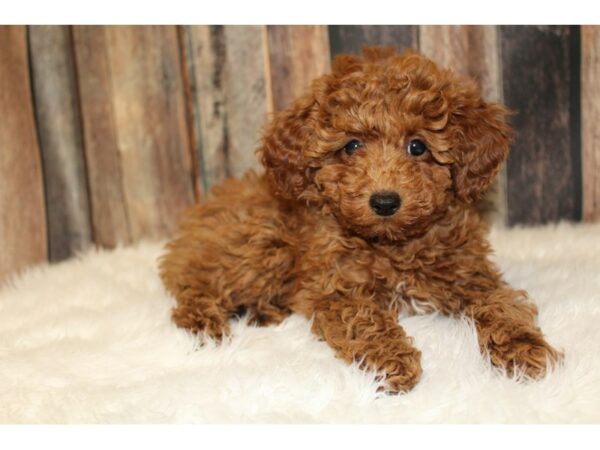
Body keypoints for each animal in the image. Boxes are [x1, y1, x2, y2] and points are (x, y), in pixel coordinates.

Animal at [161, 49, 564, 392]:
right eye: (352, 146)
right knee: (194, 288)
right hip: (260, 243)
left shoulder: (473, 274)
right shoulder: (336, 288)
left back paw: (263, 311)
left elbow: (502, 304)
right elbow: (364, 319)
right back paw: (206, 325)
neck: (394, 245)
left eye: (418, 146)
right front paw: (392, 361)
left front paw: (525, 350)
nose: (384, 201)